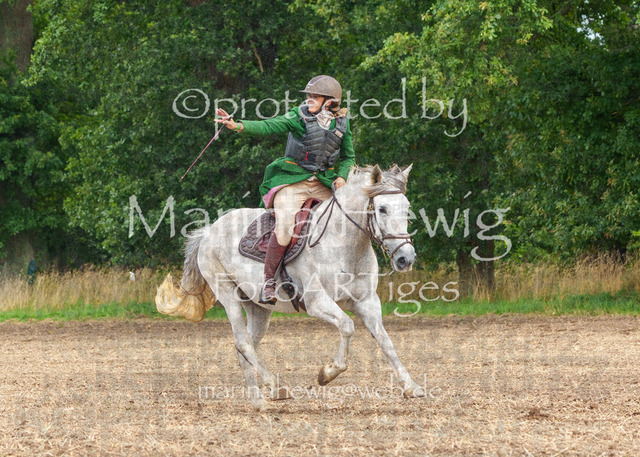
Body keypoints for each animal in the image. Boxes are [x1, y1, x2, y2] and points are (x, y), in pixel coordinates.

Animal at [156, 164, 426, 410]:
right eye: (382, 208)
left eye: (407, 208)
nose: (406, 258)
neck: (345, 244)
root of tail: (208, 231)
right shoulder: (317, 303)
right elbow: (347, 327)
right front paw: (327, 373)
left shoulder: (367, 303)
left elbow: (386, 342)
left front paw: (411, 387)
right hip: (228, 296)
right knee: (243, 343)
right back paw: (276, 387)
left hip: (258, 308)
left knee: (244, 349)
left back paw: (259, 401)